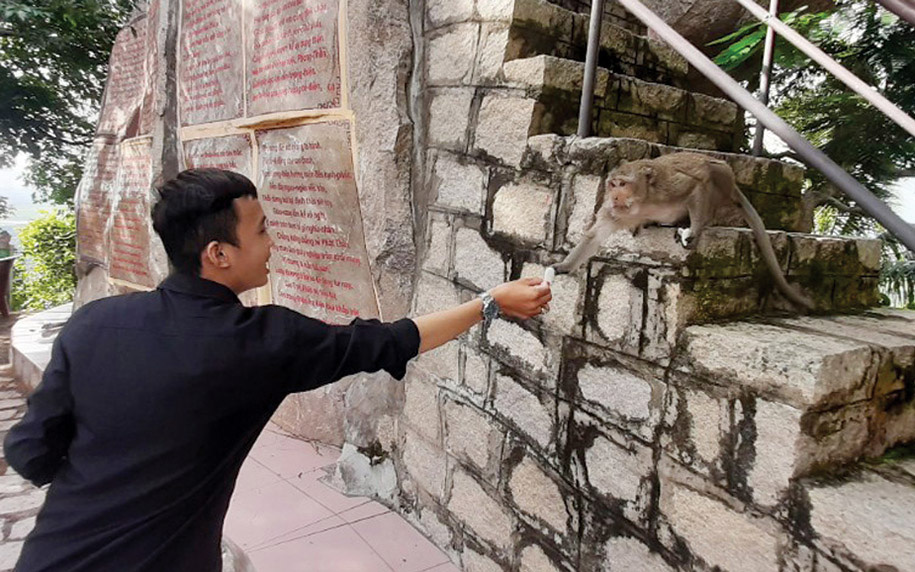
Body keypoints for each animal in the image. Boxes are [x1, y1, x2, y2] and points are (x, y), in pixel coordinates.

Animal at [556, 152, 812, 310]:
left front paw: (695, 231)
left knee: (709, 171)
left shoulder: (668, 188)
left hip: (724, 178)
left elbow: (696, 184)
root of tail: (733, 188)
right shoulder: (613, 211)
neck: (642, 203)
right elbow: (593, 236)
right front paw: (564, 266)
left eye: (624, 184)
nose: (616, 196)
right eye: (613, 185)